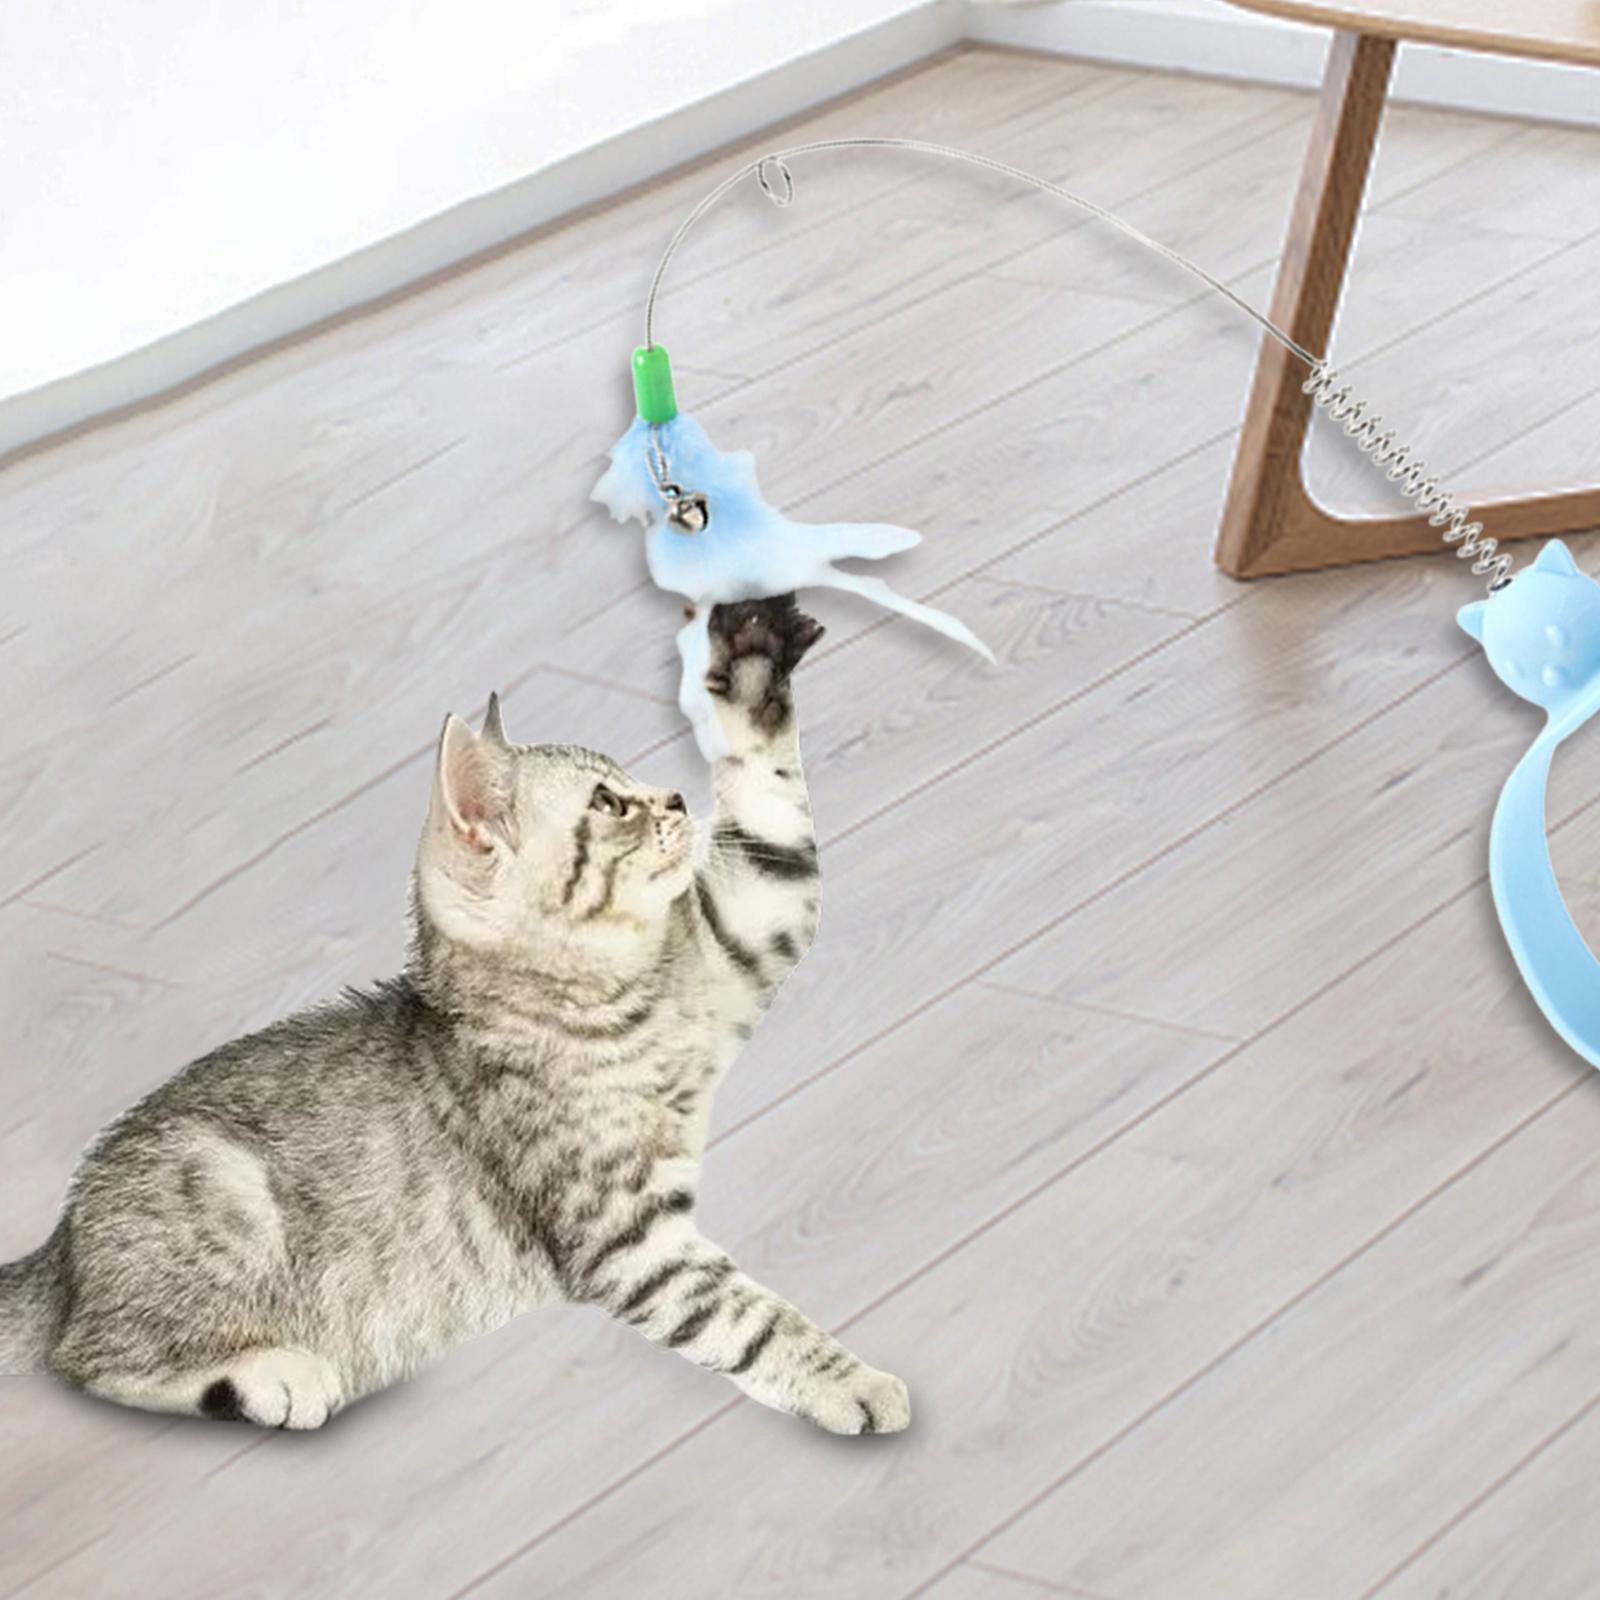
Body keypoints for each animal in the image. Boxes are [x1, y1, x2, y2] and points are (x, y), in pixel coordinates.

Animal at [0, 595, 910, 1436]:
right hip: (220, 1196)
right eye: (609, 803)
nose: (679, 797)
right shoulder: (624, 1237)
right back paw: (270, 1377)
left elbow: (772, 815)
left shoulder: (750, 921)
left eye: (634, 783)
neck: (618, 994)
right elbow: (748, 1317)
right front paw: (853, 1383)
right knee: (88, 1357)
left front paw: (749, 665)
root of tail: (63, 1245)